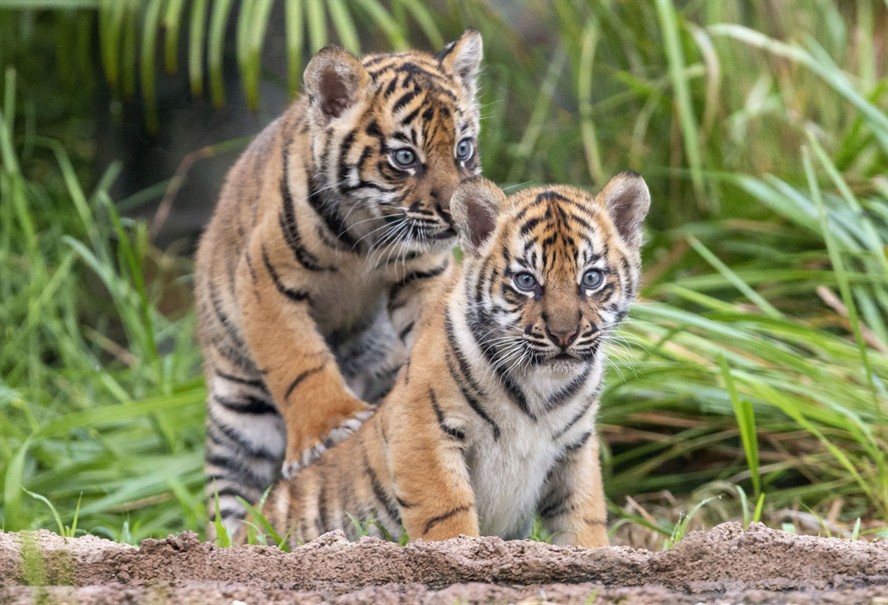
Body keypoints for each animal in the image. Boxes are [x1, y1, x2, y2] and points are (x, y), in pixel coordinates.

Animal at [194, 30, 484, 539]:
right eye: (405, 157)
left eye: (463, 149)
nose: (455, 214)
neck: (365, 233)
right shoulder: (265, 276)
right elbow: (297, 359)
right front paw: (331, 426)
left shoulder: (420, 272)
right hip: (239, 410)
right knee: (229, 494)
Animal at [254, 172, 651, 548]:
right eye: (525, 281)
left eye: (591, 278)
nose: (564, 335)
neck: (539, 384)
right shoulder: (422, 429)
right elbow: (445, 513)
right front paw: (456, 552)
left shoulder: (575, 447)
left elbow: (583, 516)